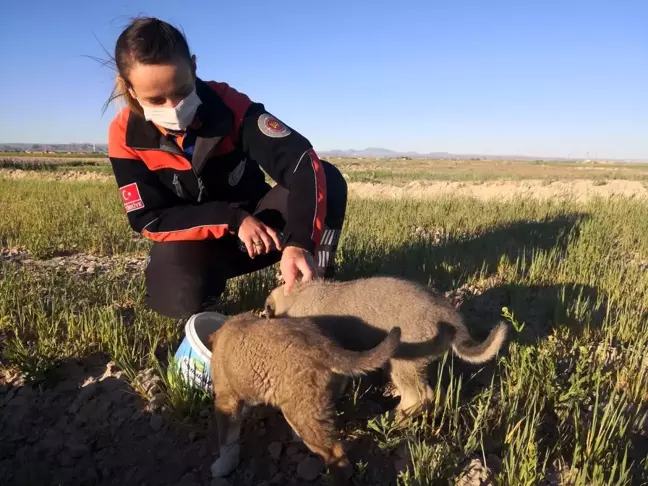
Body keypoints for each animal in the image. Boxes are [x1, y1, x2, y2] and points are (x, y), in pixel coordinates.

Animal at [208, 312, 400, 482]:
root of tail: (325, 346)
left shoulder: (226, 400)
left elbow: (227, 441)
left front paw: (222, 466)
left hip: (302, 415)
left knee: (336, 454)